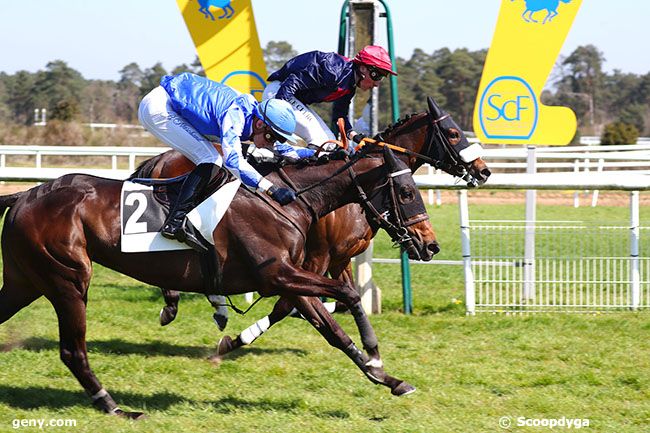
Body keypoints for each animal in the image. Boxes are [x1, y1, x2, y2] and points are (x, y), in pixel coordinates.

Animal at [1, 146, 436, 418]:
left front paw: (388, 378)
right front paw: (375, 355)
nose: (429, 245)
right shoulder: (278, 274)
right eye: (405, 191)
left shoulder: (290, 279)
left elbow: (333, 330)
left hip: (25, 280)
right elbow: (346, 293)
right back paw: (114, 406)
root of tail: (22, 196)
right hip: (69, 280)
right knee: (73, 351)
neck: (285, 198)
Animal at [134, 99, 488, 356]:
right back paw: (182, 303)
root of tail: (161, 158)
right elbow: (287, 304)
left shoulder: (339, 259)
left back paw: (213, 306)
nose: (484, 171)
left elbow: (340, 298)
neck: (349, 196)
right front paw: (236, 340)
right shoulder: (314, 258)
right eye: (454, 134)